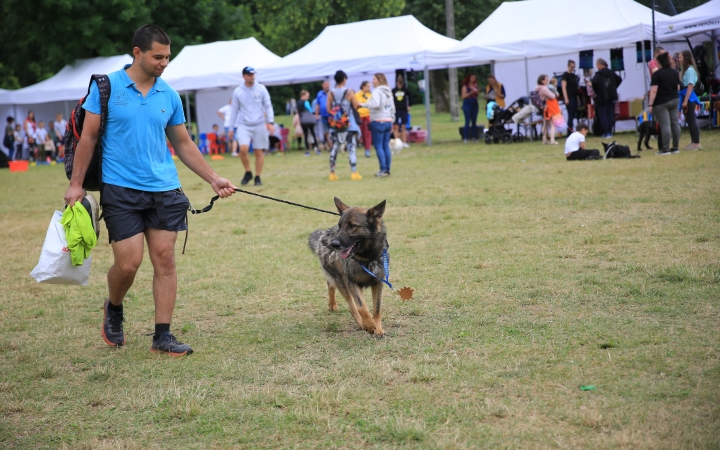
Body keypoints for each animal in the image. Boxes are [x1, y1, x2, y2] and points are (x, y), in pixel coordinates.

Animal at [310, 197, 388, 334]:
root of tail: (323, 236)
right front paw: (369, 325)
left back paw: (332, 305)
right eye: (340, 226)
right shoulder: (352, 283)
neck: (366, 258)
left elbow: (377, 309)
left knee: (330, 284)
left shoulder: (378, 283)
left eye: (352, 226)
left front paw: (378, 329)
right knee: (352, 306)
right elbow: (362, 307)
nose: (334, 244)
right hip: (342, 281)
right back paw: (361, 324)